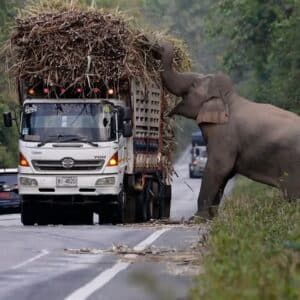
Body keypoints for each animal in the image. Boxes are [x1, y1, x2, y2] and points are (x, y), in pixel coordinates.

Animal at [151, 39, 300, 218]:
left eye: (194, 85)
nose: (158, 45)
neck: (228, 98)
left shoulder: (224, 135)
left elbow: (218, 168)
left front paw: (197, 218)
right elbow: (225, 174)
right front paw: (211, 217)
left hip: (292, 164)